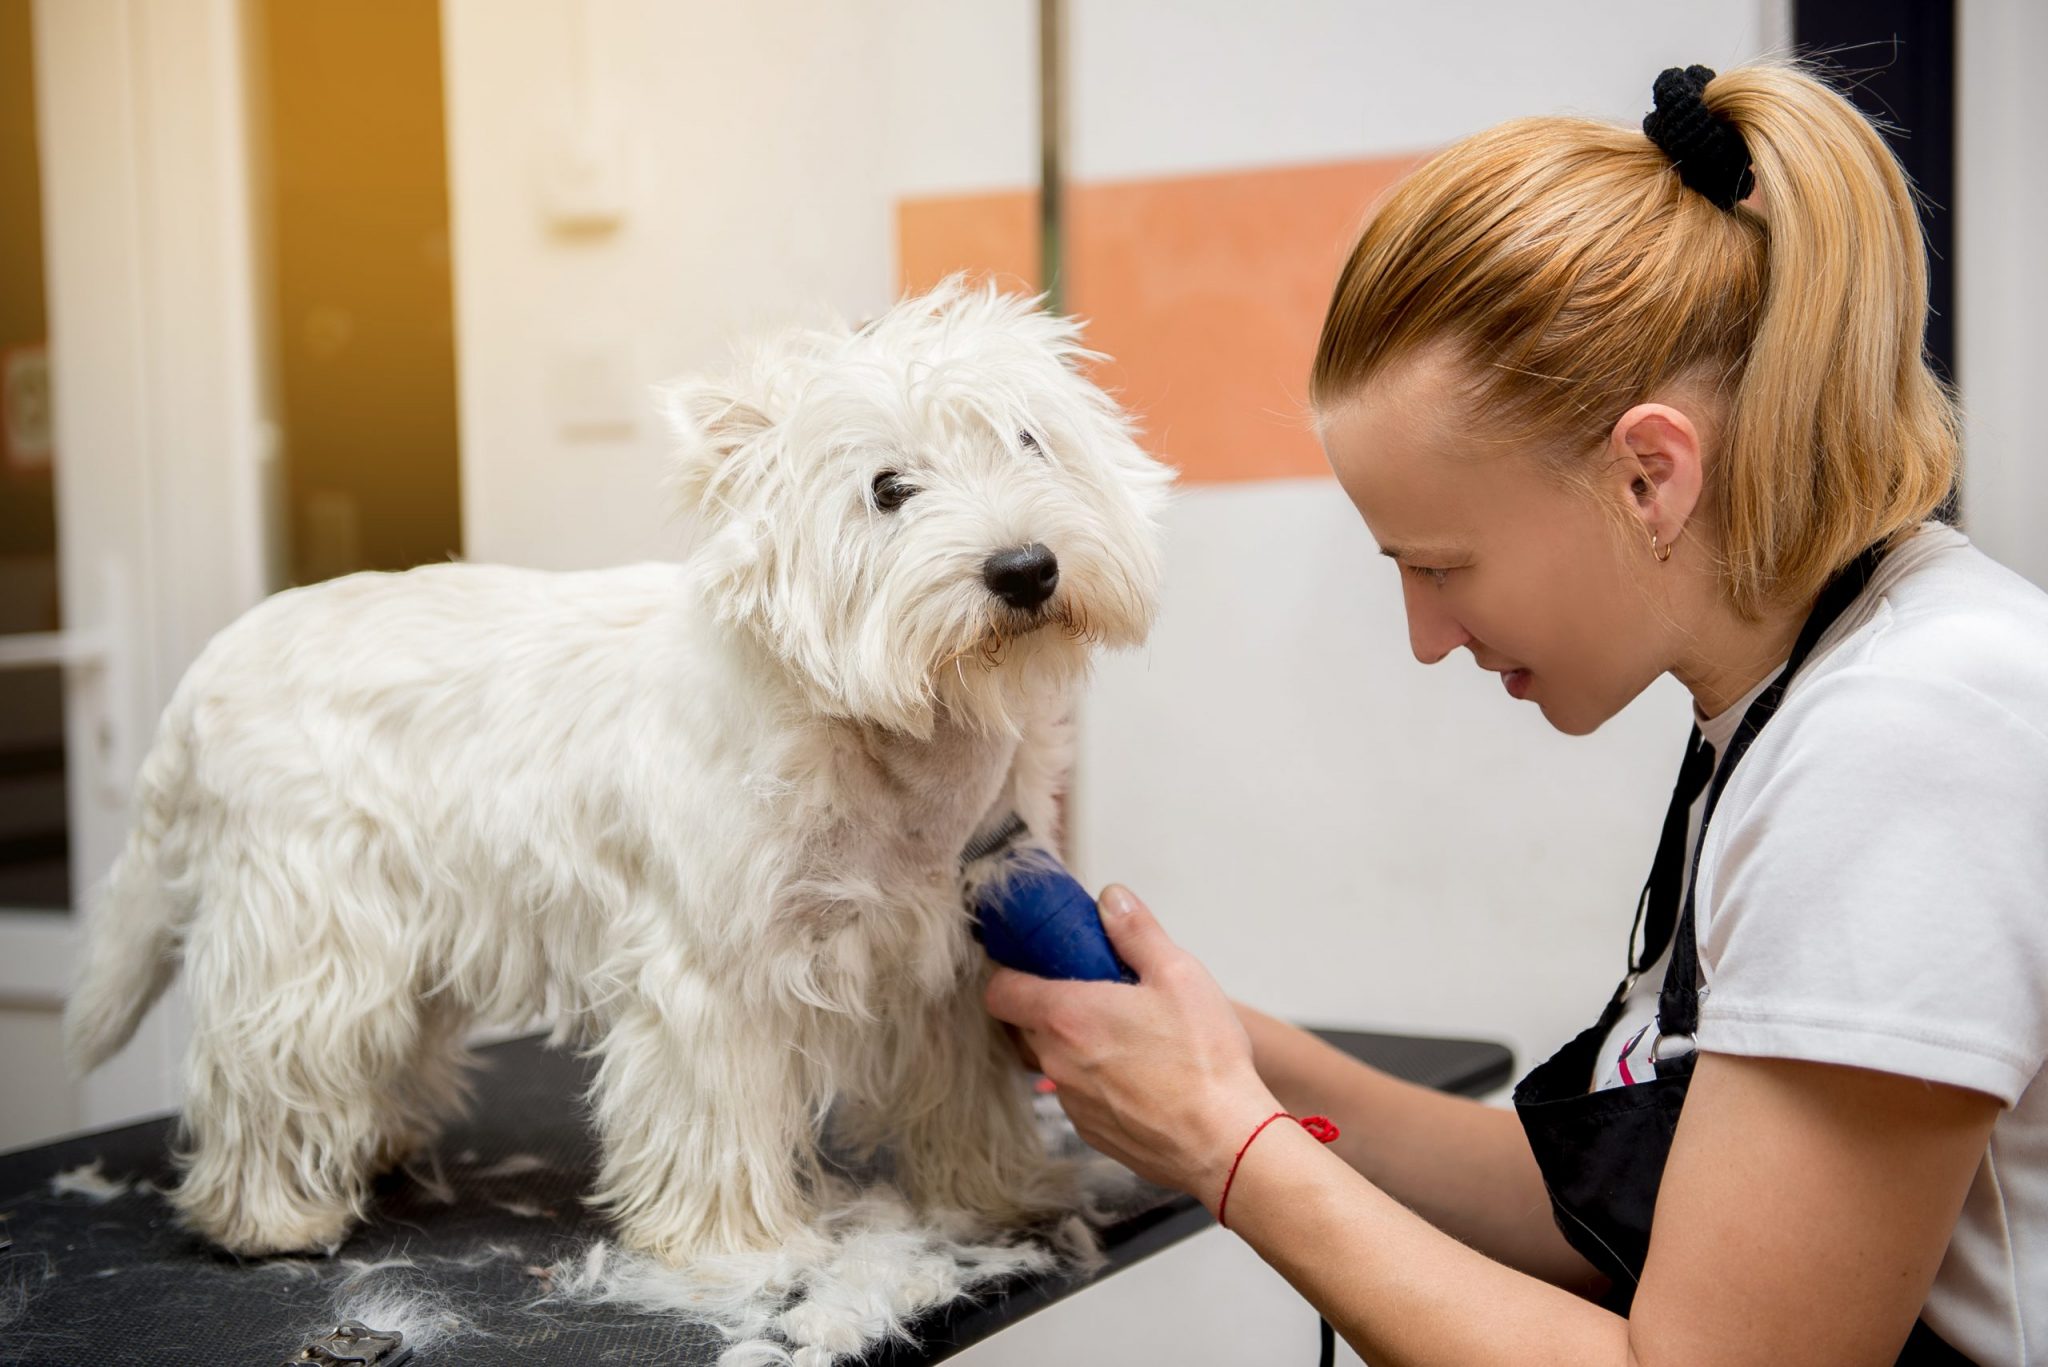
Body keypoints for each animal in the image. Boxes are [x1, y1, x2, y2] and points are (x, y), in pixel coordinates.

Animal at [64, 278, 1171, 1262]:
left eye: (1029, 441)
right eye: (888, 488)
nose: (1024, 568)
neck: (893, 738)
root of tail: (209, 670)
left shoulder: (952, 945)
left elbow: (966, 1091)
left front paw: (1001, 1192)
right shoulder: (715, 963)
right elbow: (718, 1101)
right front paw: (737, 1243)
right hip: (311, 921)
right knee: (265, 1058)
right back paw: (267, 1216)